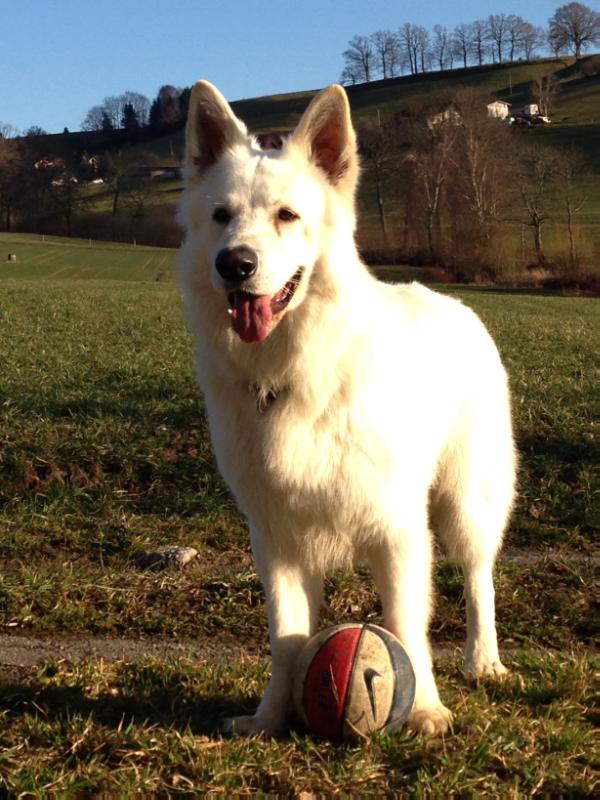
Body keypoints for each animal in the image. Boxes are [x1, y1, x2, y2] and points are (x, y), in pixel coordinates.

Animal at [177, 81, 516, 736]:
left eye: (287, 217)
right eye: (222, 217)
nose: (235, 264)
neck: (295, 370)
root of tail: (457, 303)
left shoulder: (399, 531)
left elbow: (407, 625)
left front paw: (426, 709)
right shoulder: (276, 539)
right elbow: (286, 638)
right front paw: (268, 719)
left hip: (467, 501)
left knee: (478, 576)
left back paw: (483, 660)